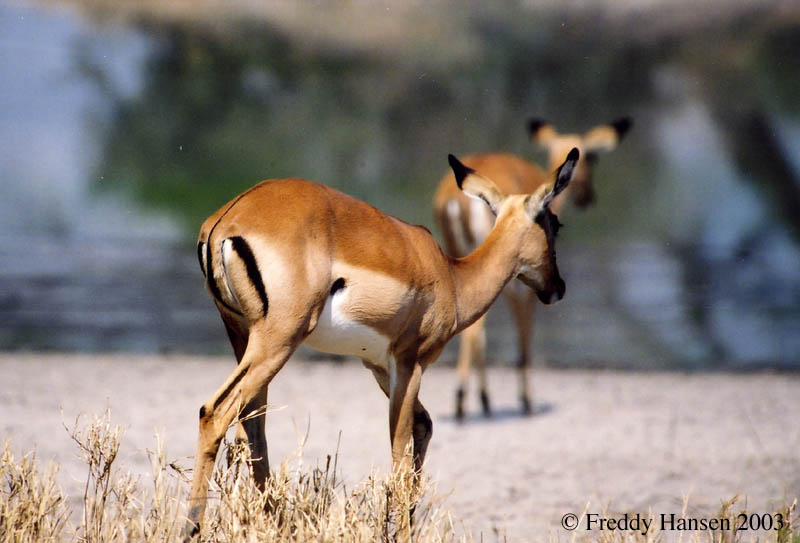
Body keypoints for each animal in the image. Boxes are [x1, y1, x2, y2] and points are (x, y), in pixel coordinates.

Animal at [184, 150, 578, 537]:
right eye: (555, 223)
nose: (557, 287)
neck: (452, 278)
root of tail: (226, 222)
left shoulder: (377, 367)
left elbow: (424, 426)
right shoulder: (408, 363)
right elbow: (402, 456)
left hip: (242, 336)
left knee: (253, 428)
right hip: (278, 340)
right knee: (215, 412)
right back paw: (192, 525)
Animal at [433, 118, 631, 420]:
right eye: (592, 157)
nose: (588, 197)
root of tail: (455, 201)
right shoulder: (522, 285)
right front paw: (526, 401)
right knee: (479, 330)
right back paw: (470, 399)